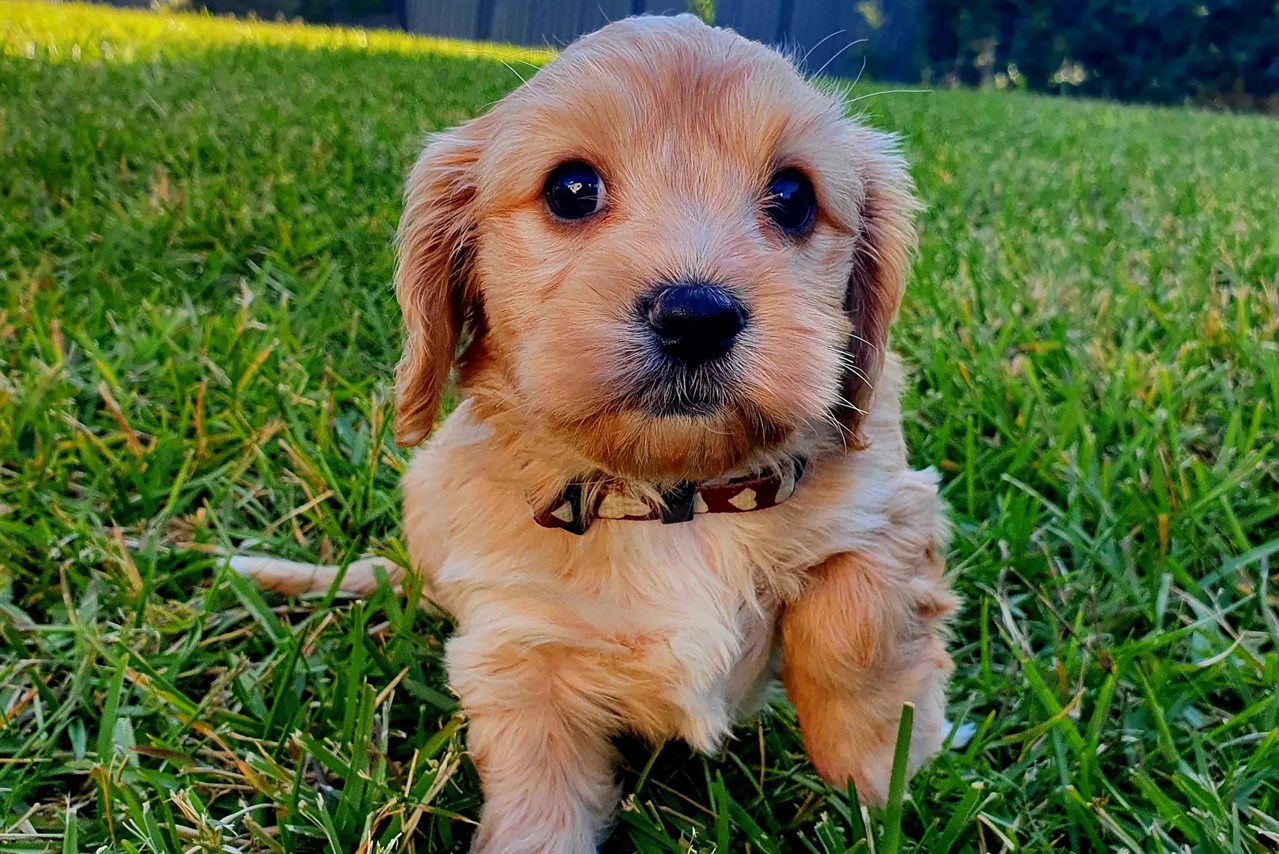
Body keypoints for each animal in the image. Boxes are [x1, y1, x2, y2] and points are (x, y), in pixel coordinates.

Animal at [235, 15, 956, 854]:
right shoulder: (515, 649)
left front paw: (875, 770)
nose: (696, 315)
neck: (669, 498)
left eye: (792, 196)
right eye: (571, 189)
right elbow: (540, 799)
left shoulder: (891, 500)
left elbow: (854, 619)